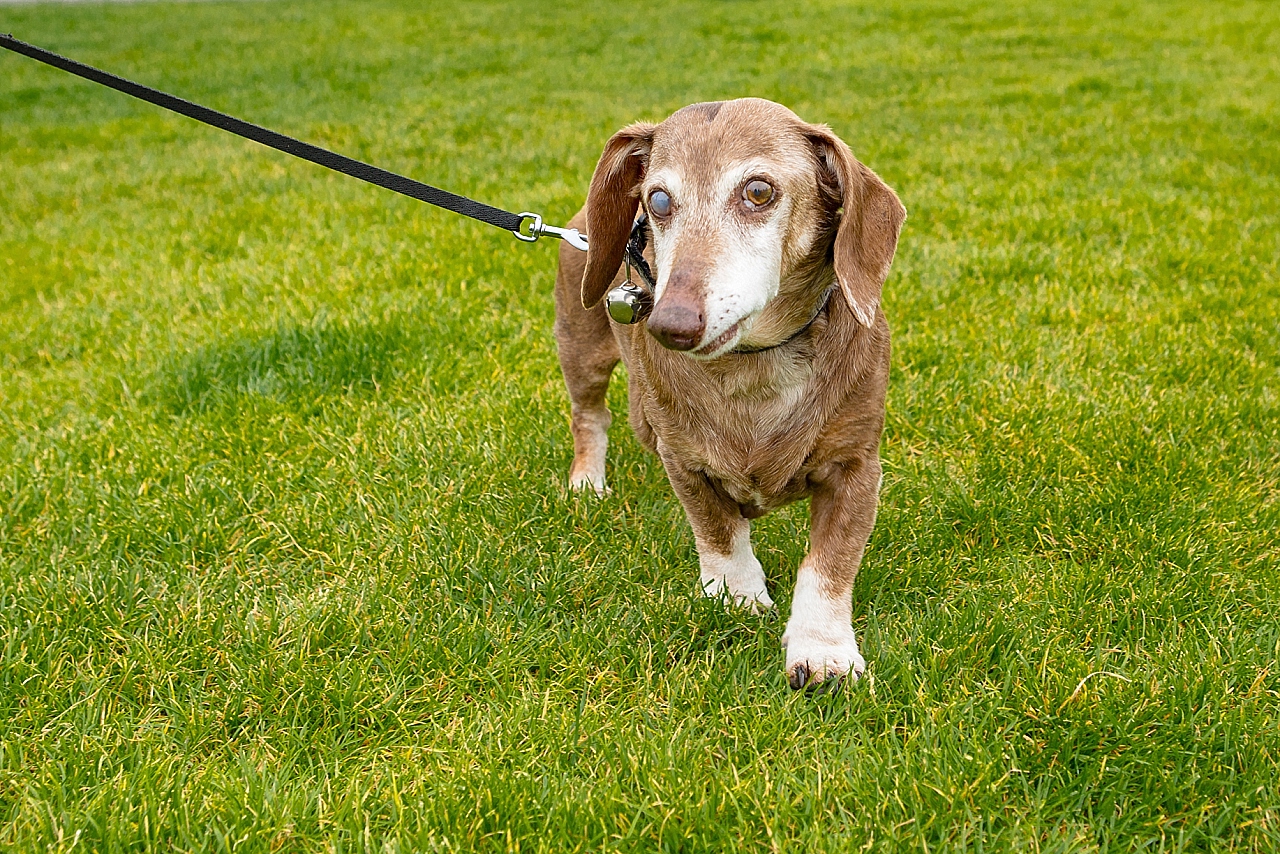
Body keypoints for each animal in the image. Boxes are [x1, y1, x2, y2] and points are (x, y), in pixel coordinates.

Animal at [552, 98, 905, 689]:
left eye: (758, 191)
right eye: (658, 199)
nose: (669, 324)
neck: (754, 366)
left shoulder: (856, 467)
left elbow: (830, 565)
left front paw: (822, 651)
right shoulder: (685, 463)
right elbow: (718, 533)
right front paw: (738, 596)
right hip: (582, 350)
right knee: (590, 417)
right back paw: (587, 481)